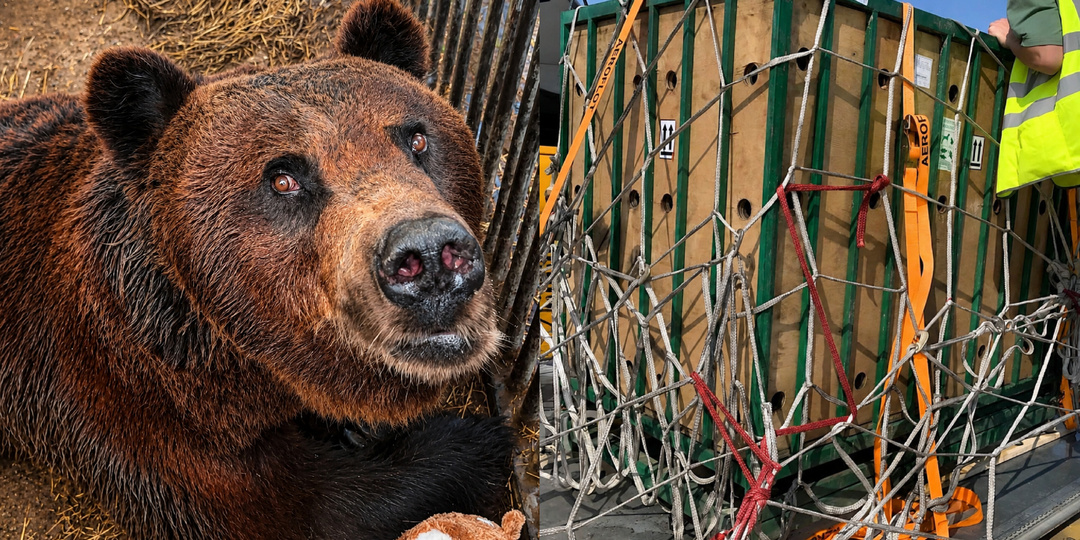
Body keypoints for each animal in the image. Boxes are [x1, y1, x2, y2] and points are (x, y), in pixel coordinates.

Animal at [0, 0, 515, 538]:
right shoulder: (132, 392)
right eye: (283, 178)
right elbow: (290, 504)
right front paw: (472, 439)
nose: (431, 254)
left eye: (416, 139)